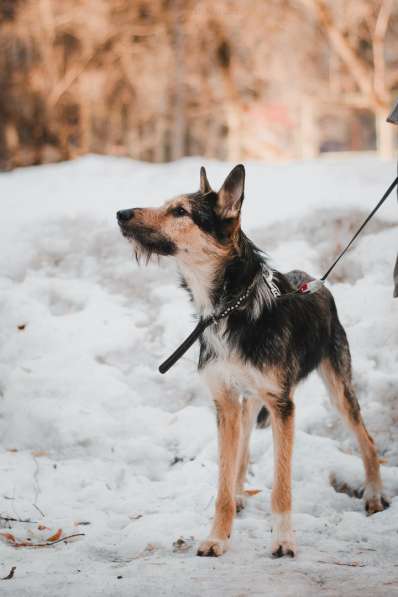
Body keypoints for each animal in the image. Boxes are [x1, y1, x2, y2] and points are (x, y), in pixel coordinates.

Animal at [116, 164, 388, 560]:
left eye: (180, 211)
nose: (120, 214)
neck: (228, 308)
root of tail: (313, 280)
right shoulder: (225, 403)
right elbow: (223, 482)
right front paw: (218, 536)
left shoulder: (282, 406)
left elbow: (282, 486)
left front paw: (284, 540)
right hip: (247, 403)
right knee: (242, 448)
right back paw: (241, 492)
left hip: (337, 387)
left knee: (366, 439)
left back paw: (374, 494)